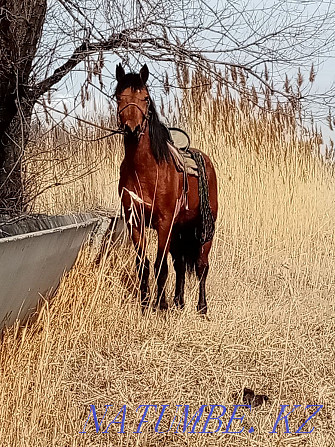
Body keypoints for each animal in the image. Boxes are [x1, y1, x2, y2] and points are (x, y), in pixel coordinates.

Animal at [117, 64, 219, 316]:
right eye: (119, 97)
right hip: (179, 231)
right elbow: (143, 264)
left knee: (201, 266)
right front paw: (145, 303)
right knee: (180, 265)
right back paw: (179, 301)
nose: (131, 129)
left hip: (204, 229)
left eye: (145, 98)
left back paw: (201, 307)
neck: (145, 170)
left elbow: (160, 265)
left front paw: (160, 306)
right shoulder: (136, 223)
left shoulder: (164, 223)